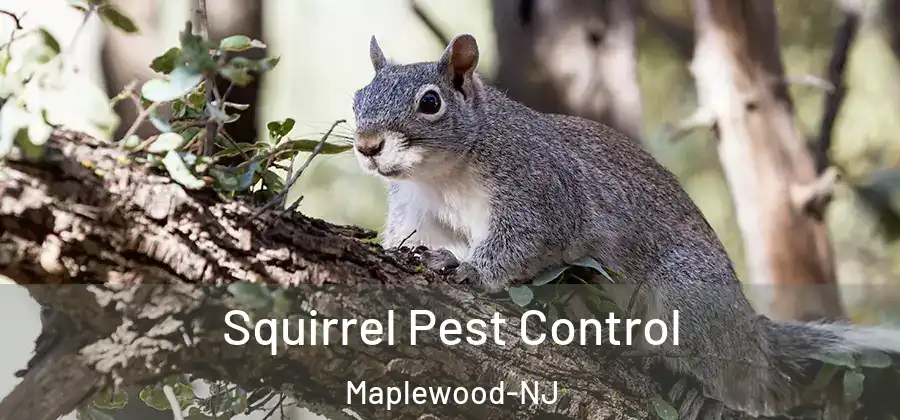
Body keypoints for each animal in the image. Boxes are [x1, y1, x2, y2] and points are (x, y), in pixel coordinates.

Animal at [351, 34, 900, 418]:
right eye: (358, 97)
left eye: (430, 102)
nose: (367, 146)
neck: (442, 174)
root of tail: (751, 332)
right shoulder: (419, 211)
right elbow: (411, 238)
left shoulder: (543, 191)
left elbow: (523, 241)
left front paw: (470, 270)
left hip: (690, 297)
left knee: (747, 383)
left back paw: (706, 393)